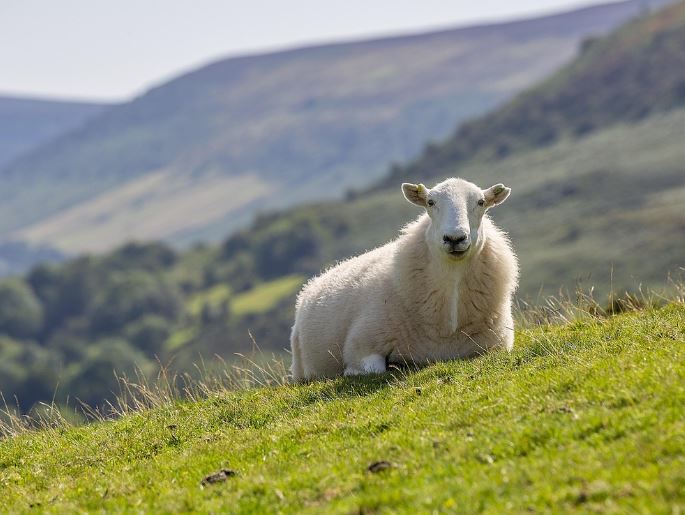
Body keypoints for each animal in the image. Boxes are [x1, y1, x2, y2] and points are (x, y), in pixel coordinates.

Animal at [290, 177, 518, 380]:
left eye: (481, 202)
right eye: (430, 202)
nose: (455, 238)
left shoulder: (497, 346)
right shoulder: (361, 344)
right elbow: (373, 369)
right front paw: (353, 372)